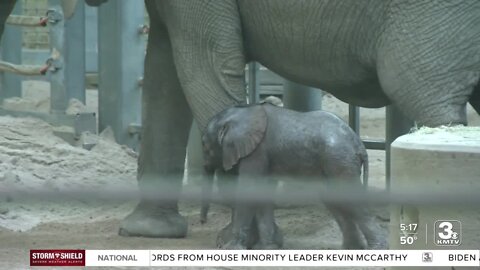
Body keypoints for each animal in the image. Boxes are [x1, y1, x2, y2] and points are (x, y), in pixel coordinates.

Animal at [201, 102, 384, 250]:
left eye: (205, 146)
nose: (202, 222)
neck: (243, 113)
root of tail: (359, 144)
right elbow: (262, 192)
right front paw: (267, 248)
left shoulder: (256, 153)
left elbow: (250, 191)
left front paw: (231, 248)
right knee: (335, 199)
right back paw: (351, 248)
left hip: (339, 158)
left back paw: (377, 248)